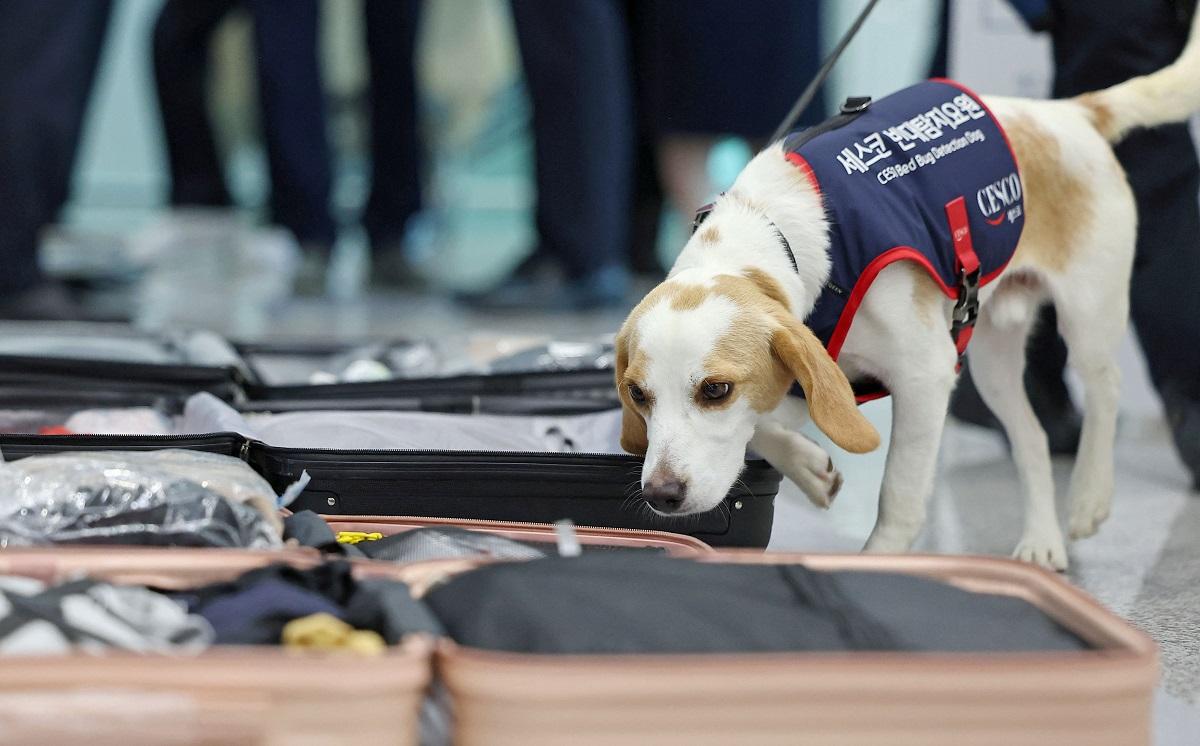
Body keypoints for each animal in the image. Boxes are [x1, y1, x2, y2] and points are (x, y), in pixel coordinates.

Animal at [614, 14, 1200, 570]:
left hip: (1088, 315)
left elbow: (899, 492)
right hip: (990, 360)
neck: (775, 232)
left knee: (1106, 390)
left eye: (716, 390)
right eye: (637, 395)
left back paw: (1088, 498)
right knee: (1032, 439)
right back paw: (1041, 542)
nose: (661, 495)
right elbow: (762, 429)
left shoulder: (925, 375)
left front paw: (881, 559)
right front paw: (808, 466)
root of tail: (1068, 114)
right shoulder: (810, 375)